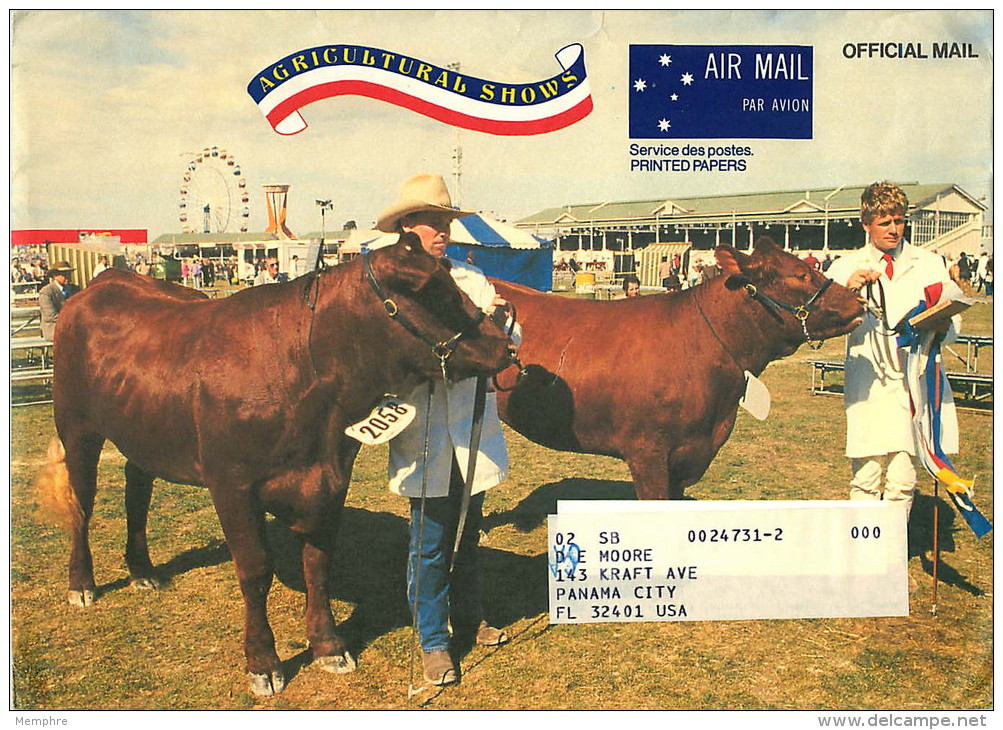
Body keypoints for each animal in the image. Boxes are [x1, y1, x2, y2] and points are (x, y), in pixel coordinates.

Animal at [37, 233, 517, 693]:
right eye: (428, 289)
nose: (503, 342)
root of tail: (105, 282)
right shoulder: (231, 485)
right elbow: (255, 570)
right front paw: (263, 663)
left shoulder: (331, 479)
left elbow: (318, 565)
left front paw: (328, 646)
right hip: (76, 426)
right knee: (82, 502)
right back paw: (82, 584)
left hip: (144, 429)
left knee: (137, 488)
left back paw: (142, 571)